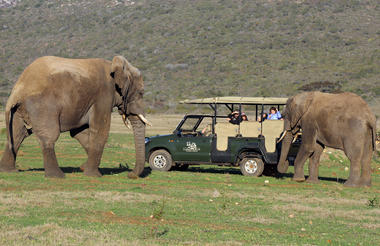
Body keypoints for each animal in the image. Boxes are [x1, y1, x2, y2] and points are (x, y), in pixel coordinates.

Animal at [0, 55, 151, 179]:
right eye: (141, 92)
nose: (130, 175)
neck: (115, 65)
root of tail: (17, 90)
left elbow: (80, 132)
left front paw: (84, 168)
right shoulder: (103, 95)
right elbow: (99, 131)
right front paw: (94, 175)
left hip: (19, 110)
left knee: (17, 135)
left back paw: (9, 171)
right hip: (42, 105)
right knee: (48, 136)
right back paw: (57, 176)